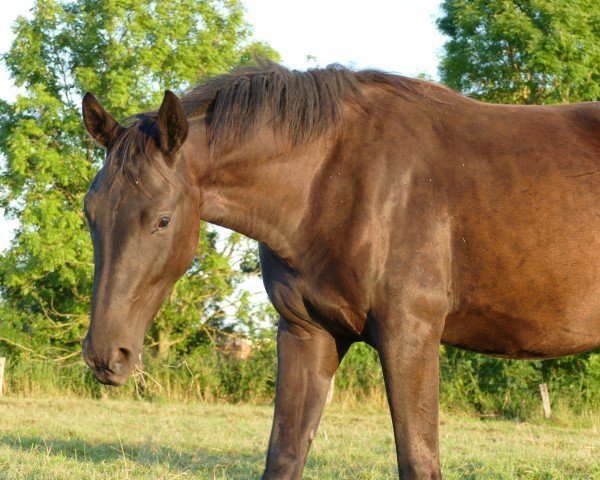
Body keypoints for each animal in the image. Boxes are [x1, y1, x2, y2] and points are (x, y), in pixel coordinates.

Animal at [81, 64, 600, 480]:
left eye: (162, 219)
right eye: (90, 212)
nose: (105, 353)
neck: (331, 182)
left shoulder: (409, 336)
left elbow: (418, 461)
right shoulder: (307, 333)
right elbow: (284, 457)